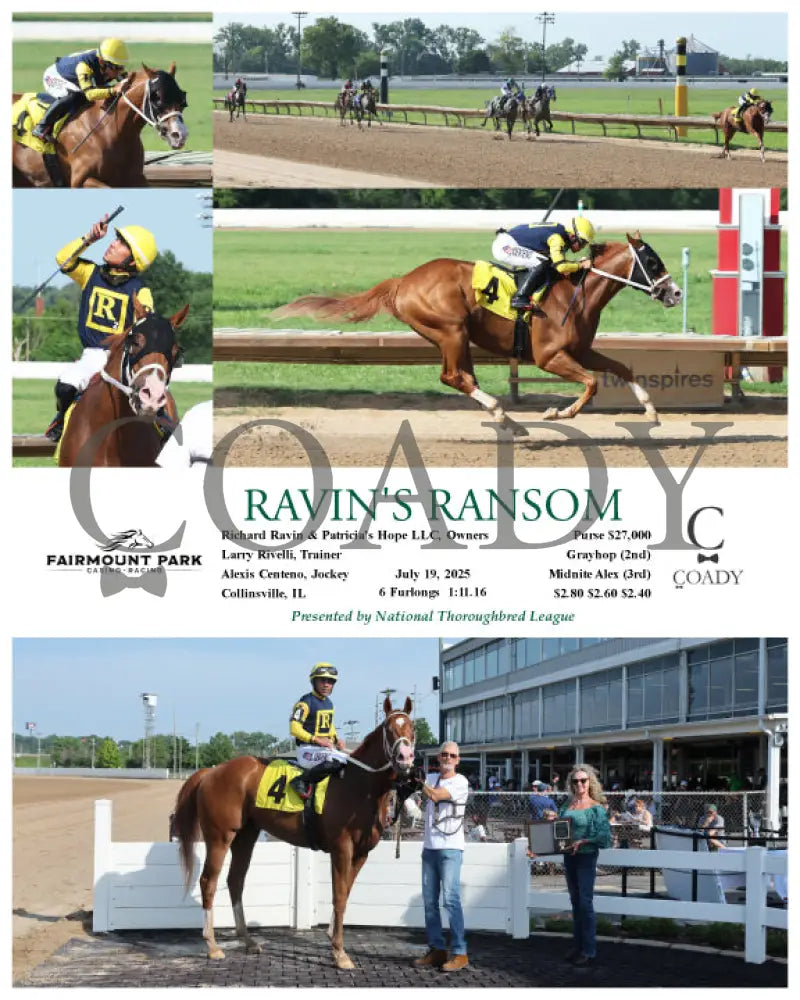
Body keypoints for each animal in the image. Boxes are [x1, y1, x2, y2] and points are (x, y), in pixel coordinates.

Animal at [12, 63, 188, 188]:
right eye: (158, 99)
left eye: (182, 99)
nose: (180, 135)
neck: (112, 130)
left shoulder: (134, 179)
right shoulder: (81, 180)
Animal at [171, 696, 416, 969]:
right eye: (389, 728)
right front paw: (339, 951)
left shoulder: (362, 852)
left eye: (412, 728)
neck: (359, 785)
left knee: (235, 881)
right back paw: (213, 946)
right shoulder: (341, 849)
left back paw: (248, 940)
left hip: (246, 836)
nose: (405, 758)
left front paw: (333, 937)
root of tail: (211, 771)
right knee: (208, 881)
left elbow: (346, 892)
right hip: (220, 836)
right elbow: (339, 896)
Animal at [273, 234, 683, 434]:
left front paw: (650, 410)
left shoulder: (581, 350)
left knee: (463, 377)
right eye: (652, 262)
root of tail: (403, 280)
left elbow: (622, 367)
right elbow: (592, 384)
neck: (576, 292)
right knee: (453, 376)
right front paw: (558, 412)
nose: (676, 293)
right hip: (450, 329)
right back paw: (500, 412)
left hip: (456, 336)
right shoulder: (550, 357)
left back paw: (505, 417)